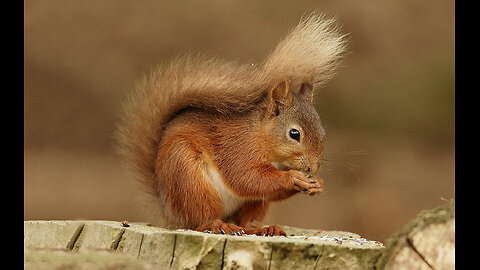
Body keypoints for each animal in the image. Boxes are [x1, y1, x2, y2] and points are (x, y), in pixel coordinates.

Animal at [116, 12, 348, 236]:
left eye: (323, 132)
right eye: (294, 134)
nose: (313, 167)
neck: (260, 136)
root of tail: (170, 213)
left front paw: (318, 184)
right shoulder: (237, 149)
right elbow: (246, 178)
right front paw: (293, 178)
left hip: (254, 204)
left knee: (247, 219)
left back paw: (263, 228)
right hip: (189, 179)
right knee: (201, 219)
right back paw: (219, 225)